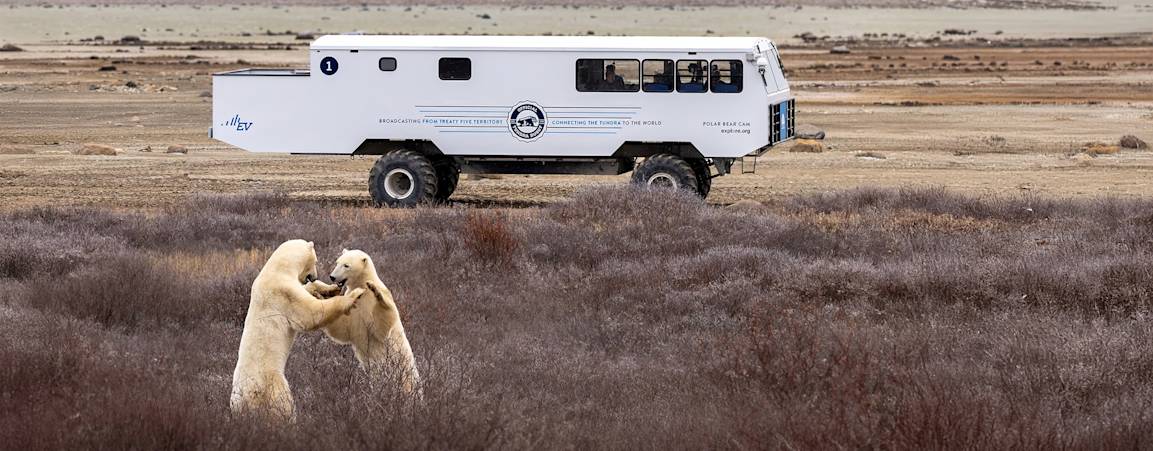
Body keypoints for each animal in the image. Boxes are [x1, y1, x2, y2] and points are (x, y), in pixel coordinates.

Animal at [230, 239, 366, 421]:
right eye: (316, 261)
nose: (315, 275)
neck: (277, 269)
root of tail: (241, 399)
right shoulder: (283, 292)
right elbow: (310, 314)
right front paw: (354, 294)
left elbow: (307, 290)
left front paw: (330, 288)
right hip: (270, 383)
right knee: (282, 404)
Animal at [320, 249, 420, 395]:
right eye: (337, 262)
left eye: (346, 265)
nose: (332, 277)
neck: (362, 287)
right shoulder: (352, 306)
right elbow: (343, 328)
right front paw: (324, 295)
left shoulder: (371, 303)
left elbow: (381, 328)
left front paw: (377, 292)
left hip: (404, 374)